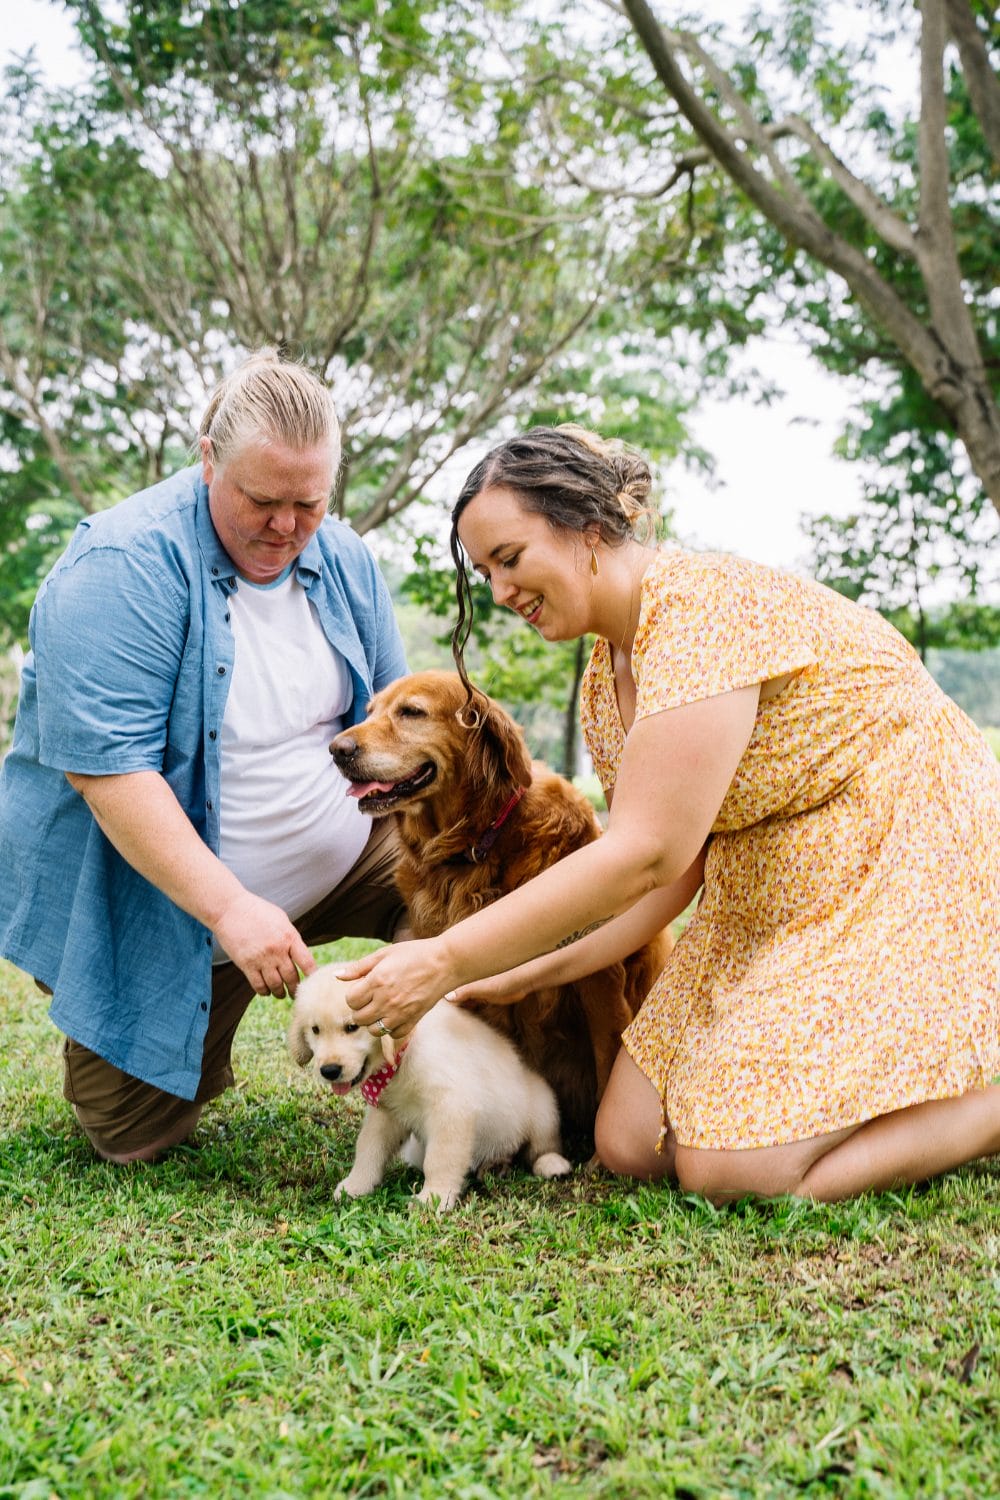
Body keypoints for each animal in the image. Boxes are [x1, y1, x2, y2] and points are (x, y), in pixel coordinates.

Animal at [288, 965, 572, 1209]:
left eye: (351, 1027)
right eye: (315, 1030)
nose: (329, 1070)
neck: (402, 1057)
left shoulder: (451, 1107)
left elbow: (440, 1158)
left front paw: (433, 1198)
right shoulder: (387, 1113)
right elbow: (368, 1147)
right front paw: (356, 1185)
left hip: (543, 1106)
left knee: (541, 1146)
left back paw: (550, 1163)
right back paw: (495, 1166)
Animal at [329, 670, 671, 1140]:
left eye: (412, 712)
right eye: (369, 711)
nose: (336, 750)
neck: (474, 845)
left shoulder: (600, 978)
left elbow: (606, 1060)